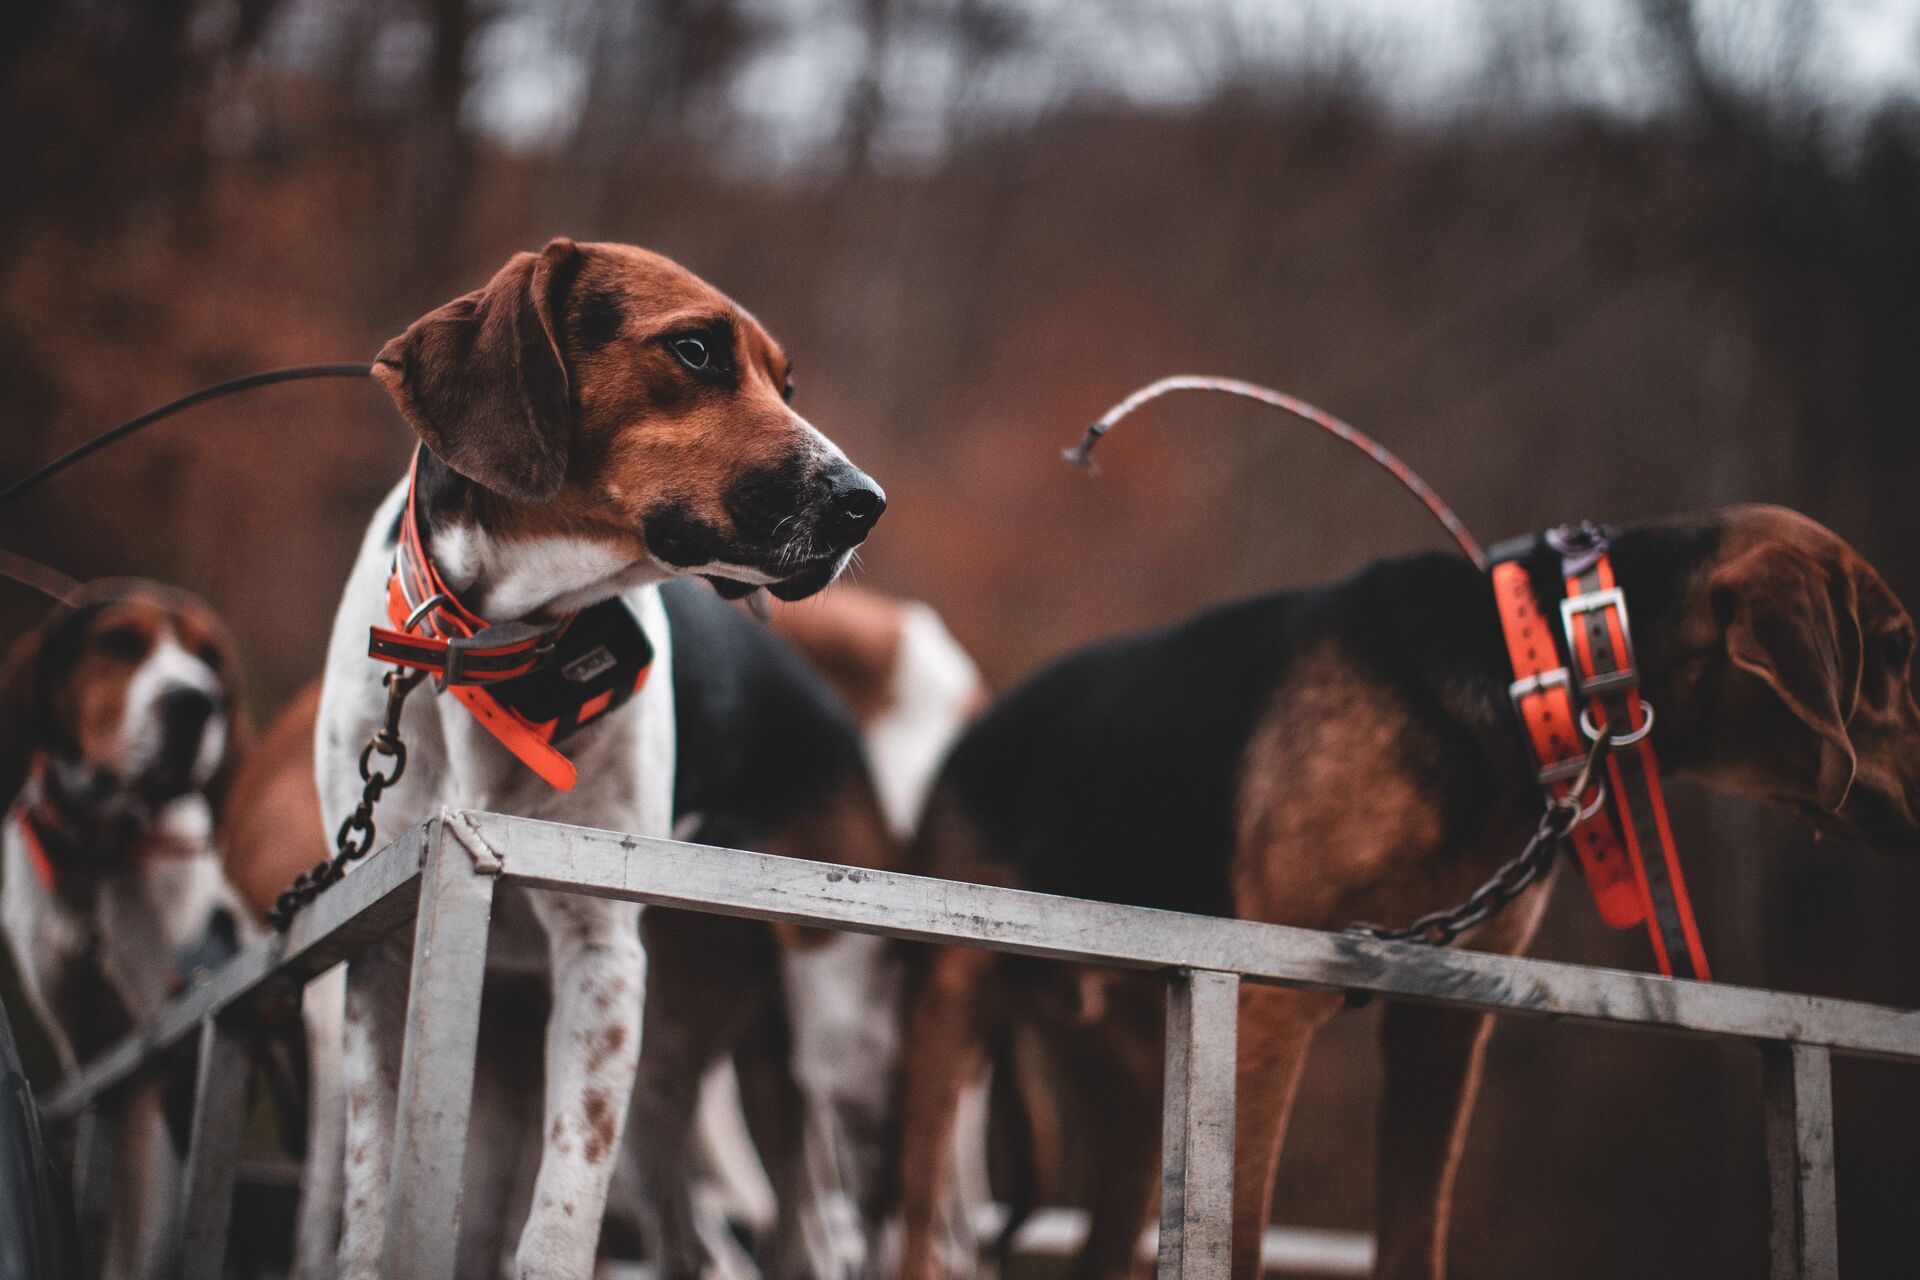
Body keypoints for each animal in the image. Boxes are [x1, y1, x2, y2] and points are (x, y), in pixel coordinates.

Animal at [0, 579, 251, 1280]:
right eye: (117, 642)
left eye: (211, 659)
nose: (195, 702)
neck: (99, 853)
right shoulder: (90, 1055)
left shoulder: (166, 1057)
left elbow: (150, 1229)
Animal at [314, 239, 883, 1280]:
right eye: (696, 350)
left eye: (786, 383)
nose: (867, 503)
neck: (499, 649)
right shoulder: (383, 954)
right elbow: (374, 1201)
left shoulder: (603, 954)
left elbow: (559, 1218)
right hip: (647, 1067)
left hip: (834, 1047)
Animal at [890, 506, 1920, 1280]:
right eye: (1899, 651)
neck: (1536, 671)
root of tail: (972, 730)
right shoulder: (1269, 1003)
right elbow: (1244, 1241)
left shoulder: (1444, 1019)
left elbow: (1414, 1241)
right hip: (949, 1022)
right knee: (916, 1229)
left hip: (1142, 1084)